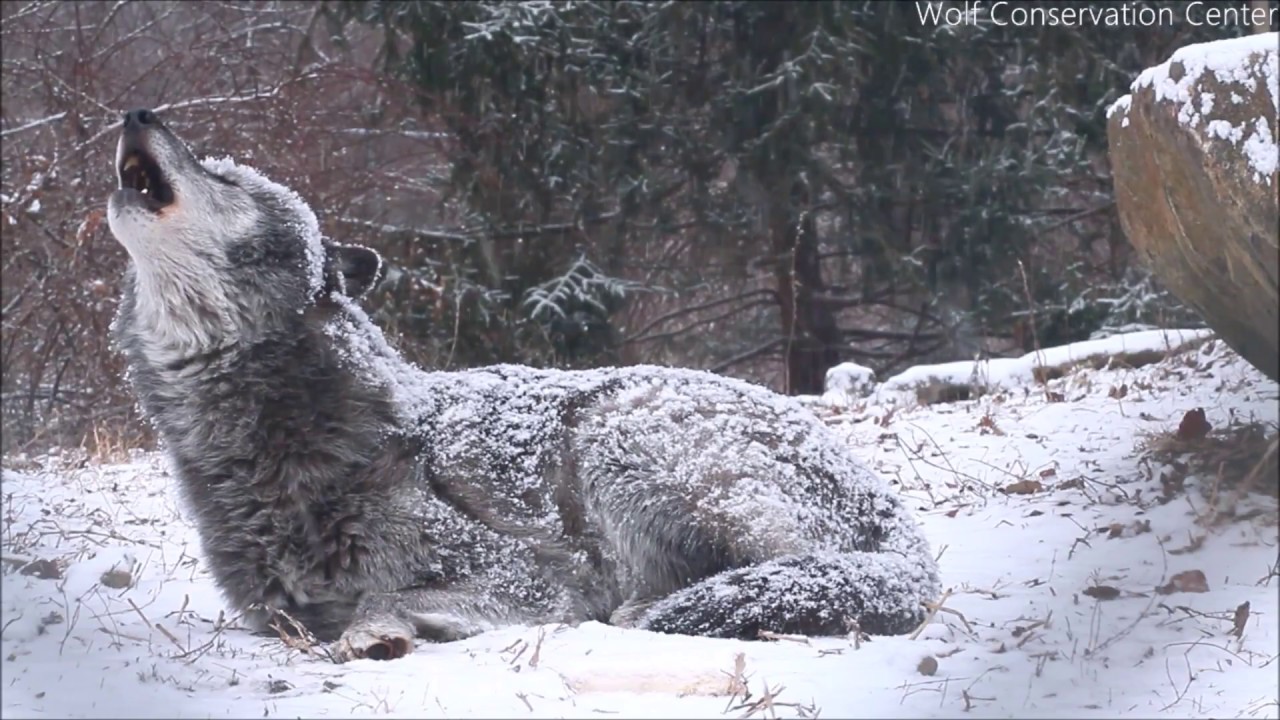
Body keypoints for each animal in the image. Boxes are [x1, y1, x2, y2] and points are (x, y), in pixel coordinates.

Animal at [106, 108, 941, 662]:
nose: (137, 113)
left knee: (779, 571)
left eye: (224, 173)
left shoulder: (535, 573)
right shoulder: (277, 612)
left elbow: (388, 595)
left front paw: (377, 631)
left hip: (615, 431)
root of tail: (887, 508)